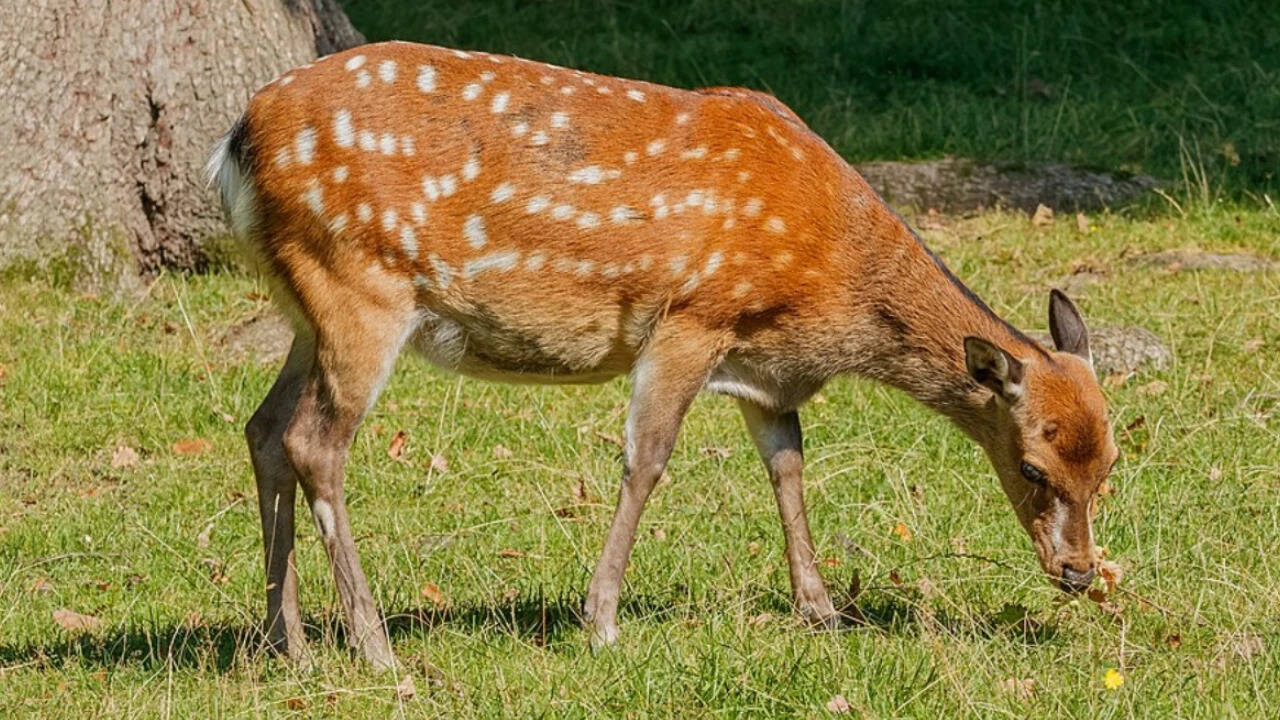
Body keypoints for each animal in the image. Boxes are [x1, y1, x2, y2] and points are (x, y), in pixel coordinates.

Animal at [208, 41, 1119, 668]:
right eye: (1033, 466)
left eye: (1110, 464)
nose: (1079, 572)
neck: (830, 288)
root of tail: (235, 143)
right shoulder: (692, 317)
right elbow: (647, 460)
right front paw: (601, 621)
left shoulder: (767, 374)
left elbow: (788, 467)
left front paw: (822, 611)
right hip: (359, 284)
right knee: (314, 442)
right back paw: (373, 644)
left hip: (305, 305)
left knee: (263, 429)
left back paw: (287, 640)